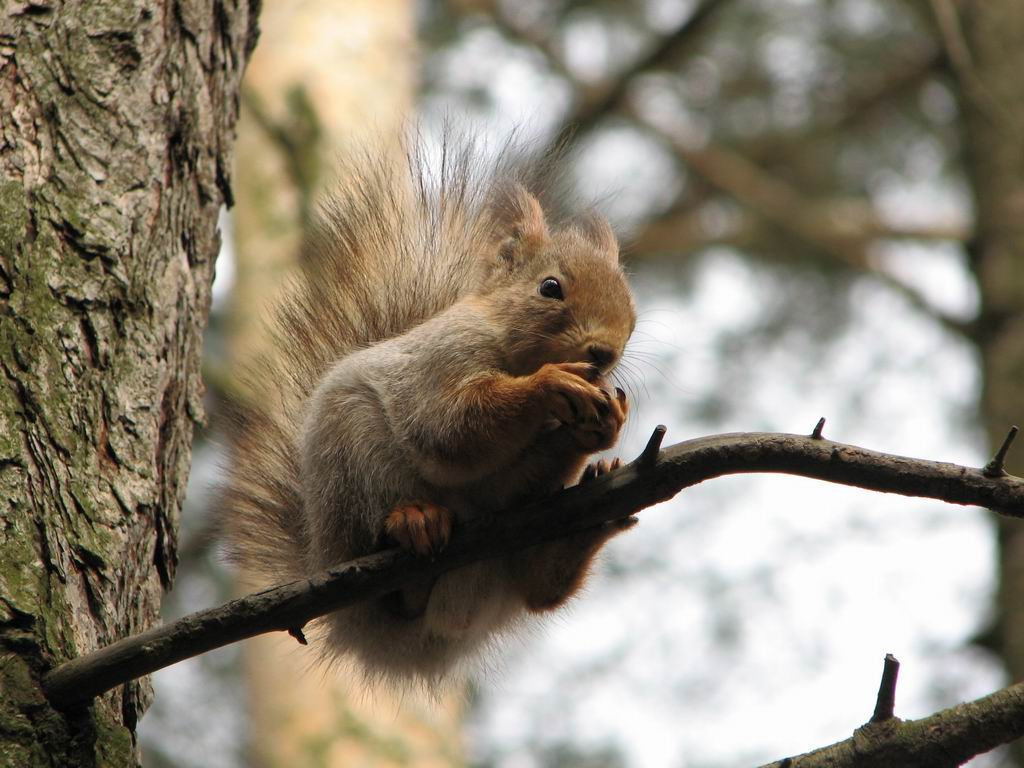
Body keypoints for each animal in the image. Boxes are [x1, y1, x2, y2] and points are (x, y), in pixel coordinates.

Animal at [218, 138, 638, 689]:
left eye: (631, 307)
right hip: (355, 465)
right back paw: (413, 523)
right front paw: (551, 385)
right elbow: (452, 429)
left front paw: (600, 427)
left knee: (541, 589)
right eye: (550, 288)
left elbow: (523, 477)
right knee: (393, 575)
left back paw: (591, 524)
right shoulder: (439, 365)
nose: (604, 354)